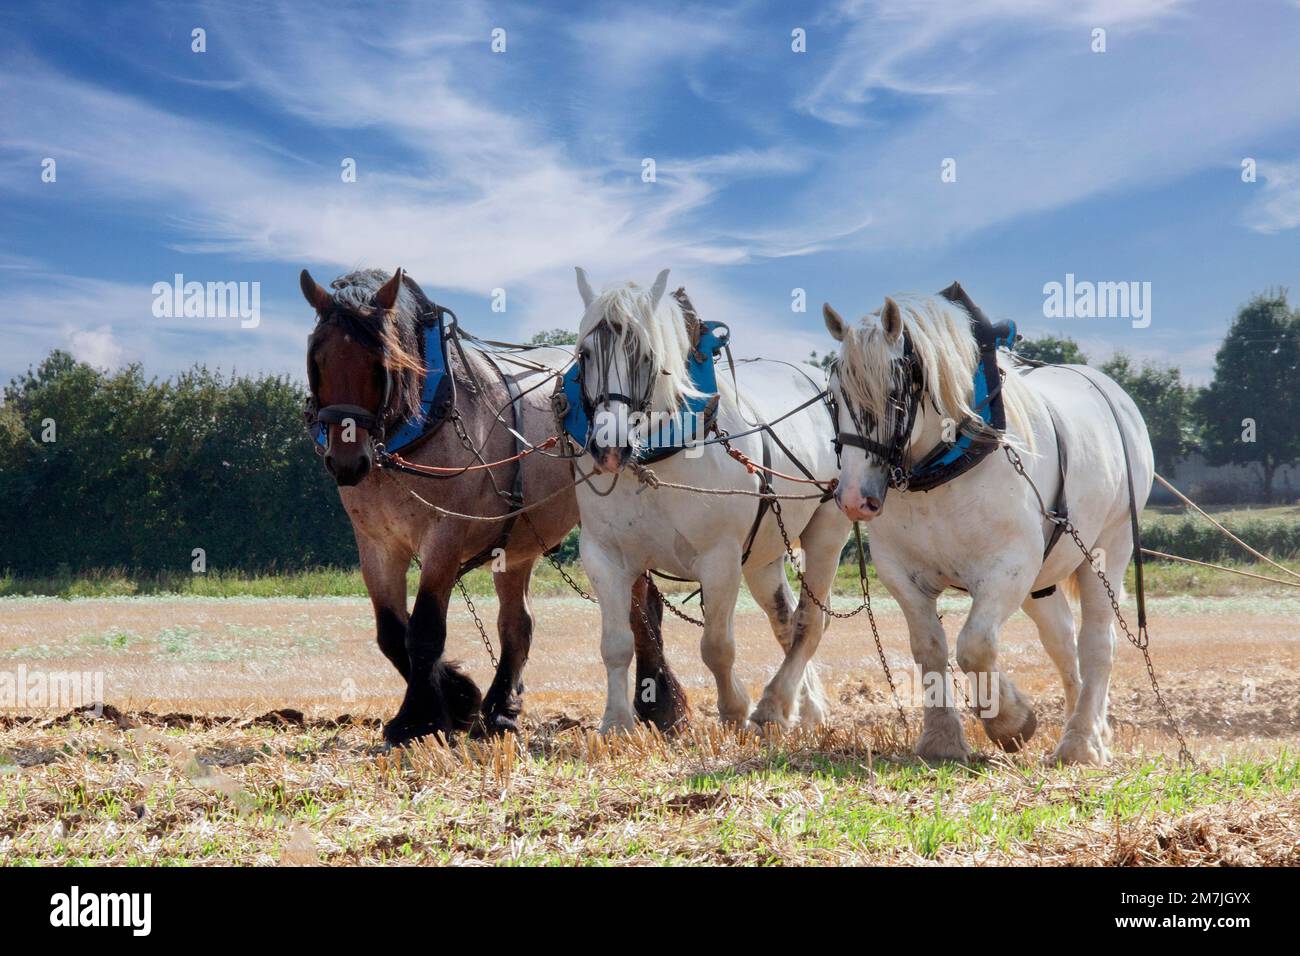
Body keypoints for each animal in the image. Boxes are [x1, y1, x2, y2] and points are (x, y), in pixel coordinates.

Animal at [300, 267, 688, 745]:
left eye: (382, 363)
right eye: (317, 360)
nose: (347, 462)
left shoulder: (445, 537)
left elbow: (424, 630)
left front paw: (420, 719)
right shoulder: (376, 544)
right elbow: (391, 632)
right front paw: (457, 698)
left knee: (640, 609)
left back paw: (659, 704)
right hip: (516, 545)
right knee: (518, 624)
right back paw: (500, 709)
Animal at [569, 267, 850, 733]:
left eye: (644, 354)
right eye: (586, 354)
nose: (609, 449)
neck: (658, 455)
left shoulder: (720, 558)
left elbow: (717, 645)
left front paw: (734, 710)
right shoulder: (603, 556)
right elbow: (616, 643)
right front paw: (616, 724)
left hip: (828, 530)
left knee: (810, 622)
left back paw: (774, 705)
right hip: (763, 554)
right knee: (786, 620)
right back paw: (805, 707)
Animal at [822, 287, 1154, 765]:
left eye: (894, 392)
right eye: (833, 395)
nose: (853, 497)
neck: (940, 471)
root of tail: (1115, 396)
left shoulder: (1009, 566)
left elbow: (975, 646)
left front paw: (1011, 722)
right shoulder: (901, 572)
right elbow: (930, 648)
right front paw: (941, 740)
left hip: (1109, 548)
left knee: (1097, 643)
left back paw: (1079, 744)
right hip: (1044, 577)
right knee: (1062, 642)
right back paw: (1093, 729)